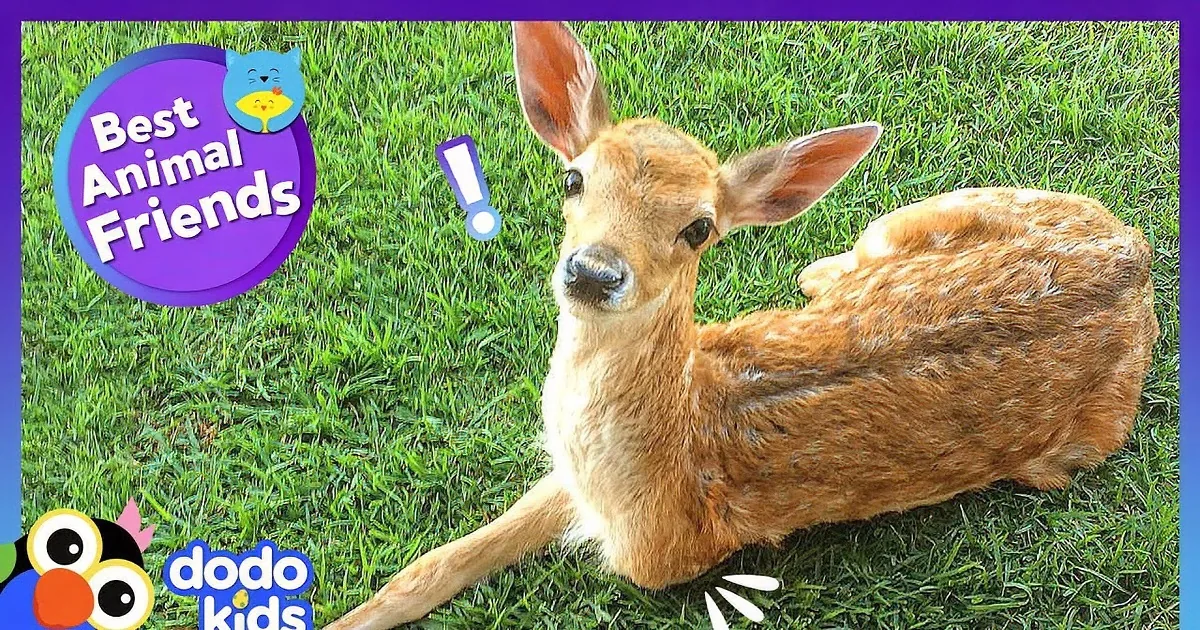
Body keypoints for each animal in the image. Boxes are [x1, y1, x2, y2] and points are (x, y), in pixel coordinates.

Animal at [327, 21, 1159, 629]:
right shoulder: (566, 477)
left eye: (699, 228)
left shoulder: (660, 556)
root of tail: (1137, 253)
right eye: (572, 178)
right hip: (939, 208)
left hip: (1076, 435)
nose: (594, 271)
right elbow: (431, 564)